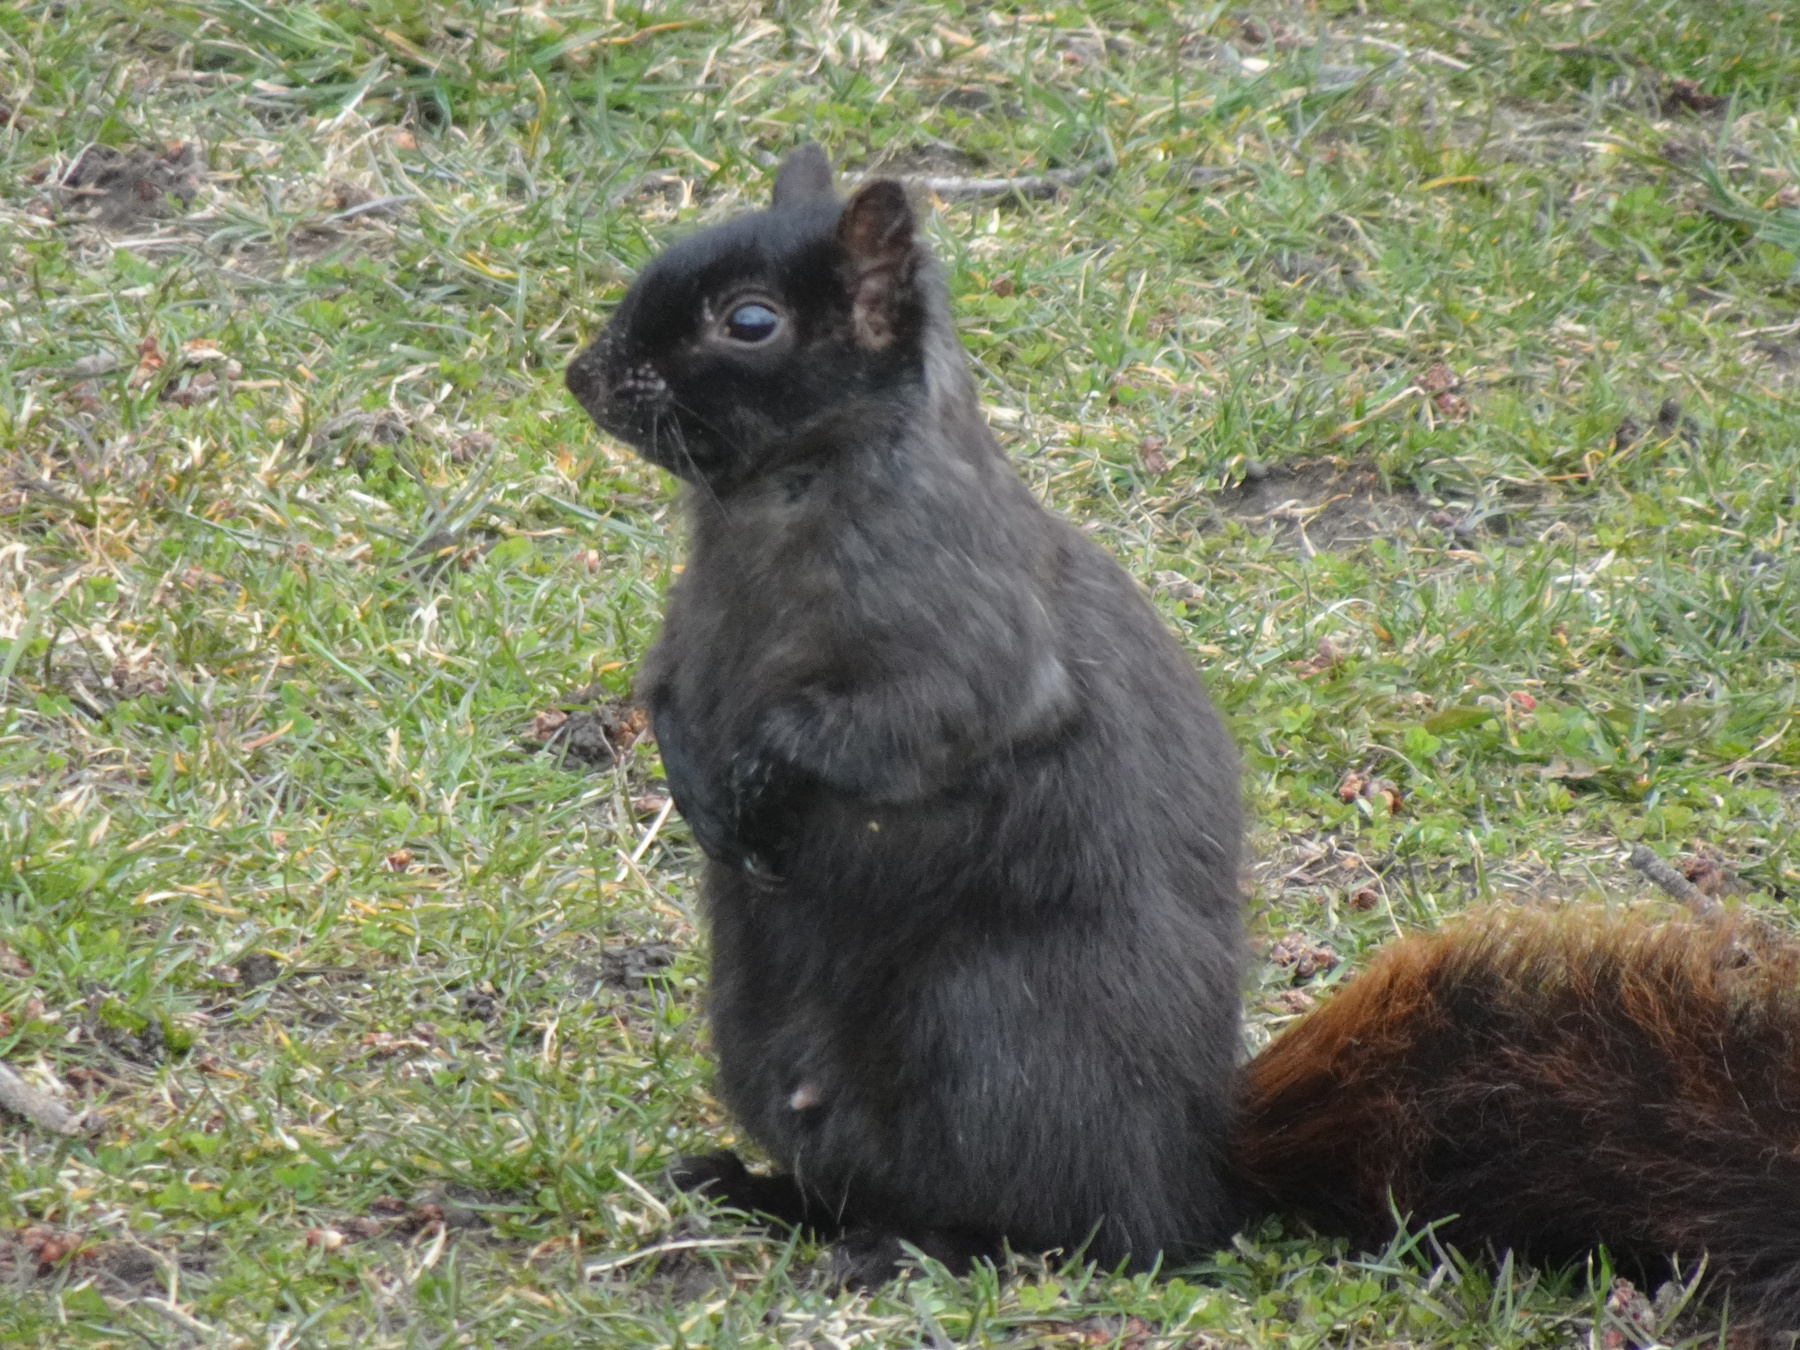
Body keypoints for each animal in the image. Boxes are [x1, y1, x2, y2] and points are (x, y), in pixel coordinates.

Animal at [566, 145, 1800, 1341]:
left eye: (753, 321)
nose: (584, 376)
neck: (772, 498)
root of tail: (1198, 1176)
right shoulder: (689, 629)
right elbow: (665, 695)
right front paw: (700, 791)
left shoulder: (966, 631)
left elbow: (910, 722)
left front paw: (764, 773)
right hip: (764, 1047)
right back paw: (756, 1191)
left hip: (987, 1040)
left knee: (1060, 1225)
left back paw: (915, 1247)